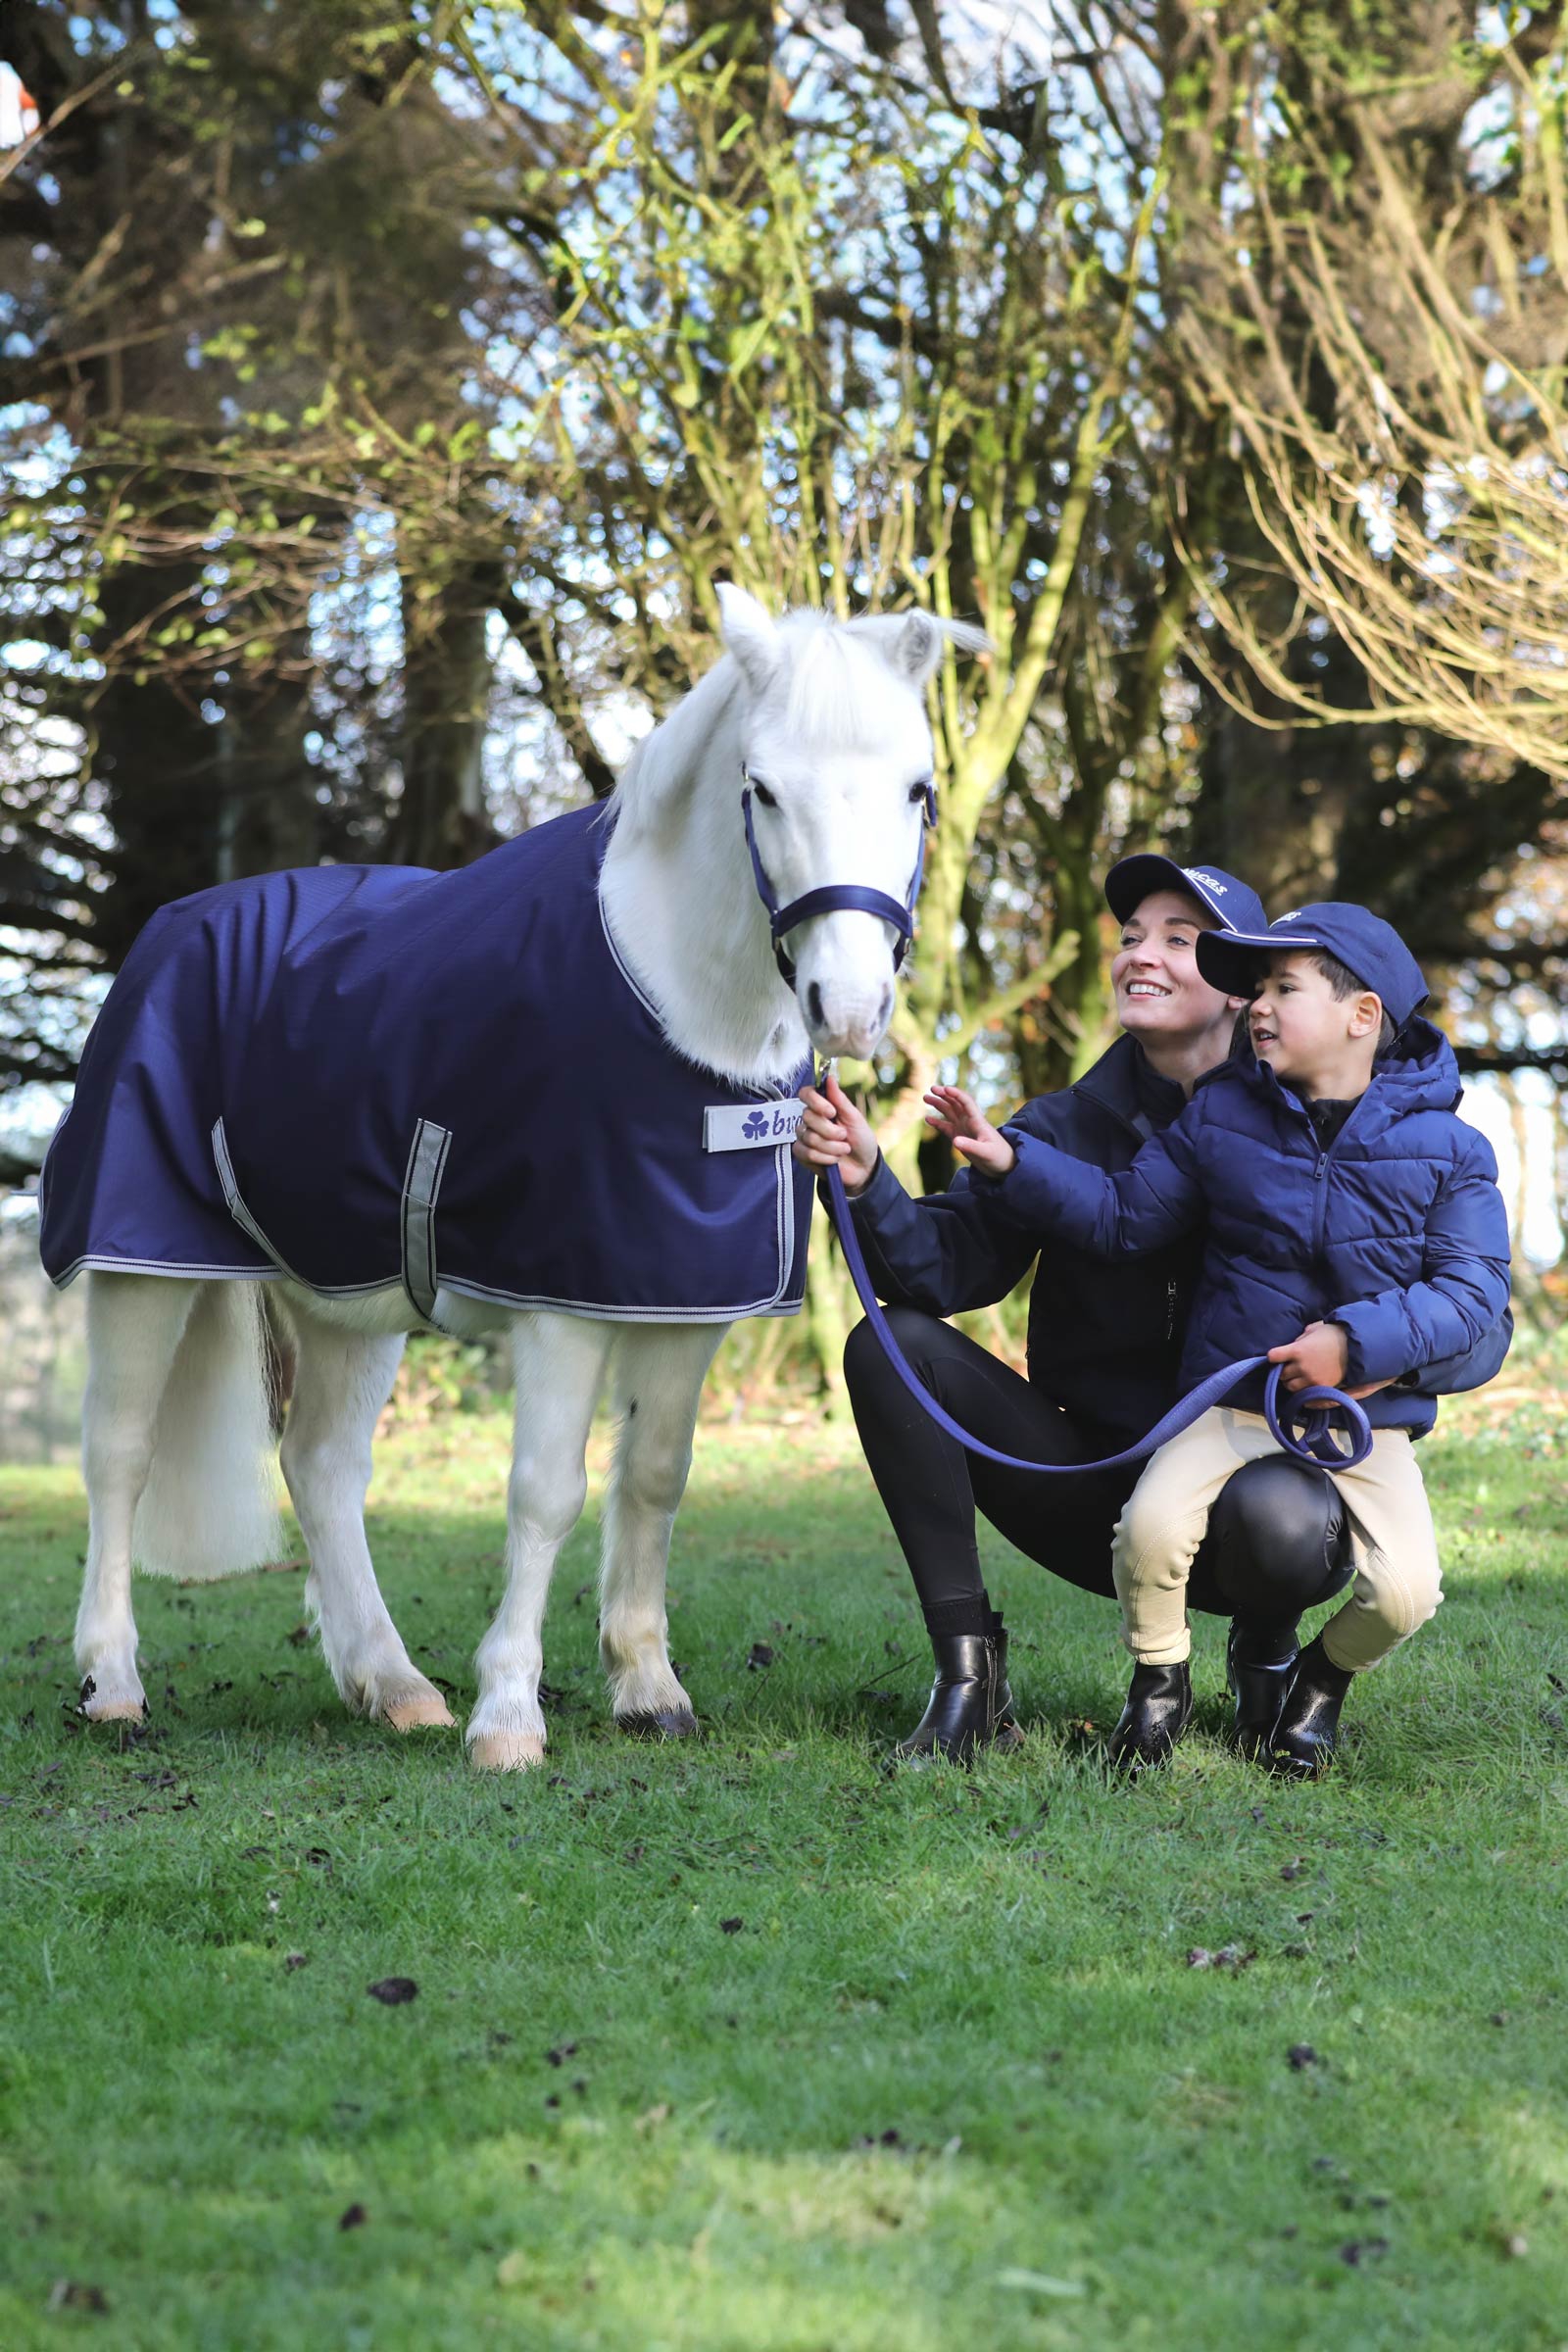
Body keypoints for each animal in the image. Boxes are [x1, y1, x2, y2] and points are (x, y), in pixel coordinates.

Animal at [41, 585, 987, 1769]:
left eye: (919, 788)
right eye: (762, 788)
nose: (849, 1011)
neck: (675, 1010)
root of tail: (169, 933)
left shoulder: (685, 1302)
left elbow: (656, 1476)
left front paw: (648, 1688)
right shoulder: (560, 1303)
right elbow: (546, 1495)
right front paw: (507, 1718)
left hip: (347, 1304)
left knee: (321, 1466)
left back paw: (393, 1685)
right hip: (144, 1269)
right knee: (118, 1458)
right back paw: (112, 1682)